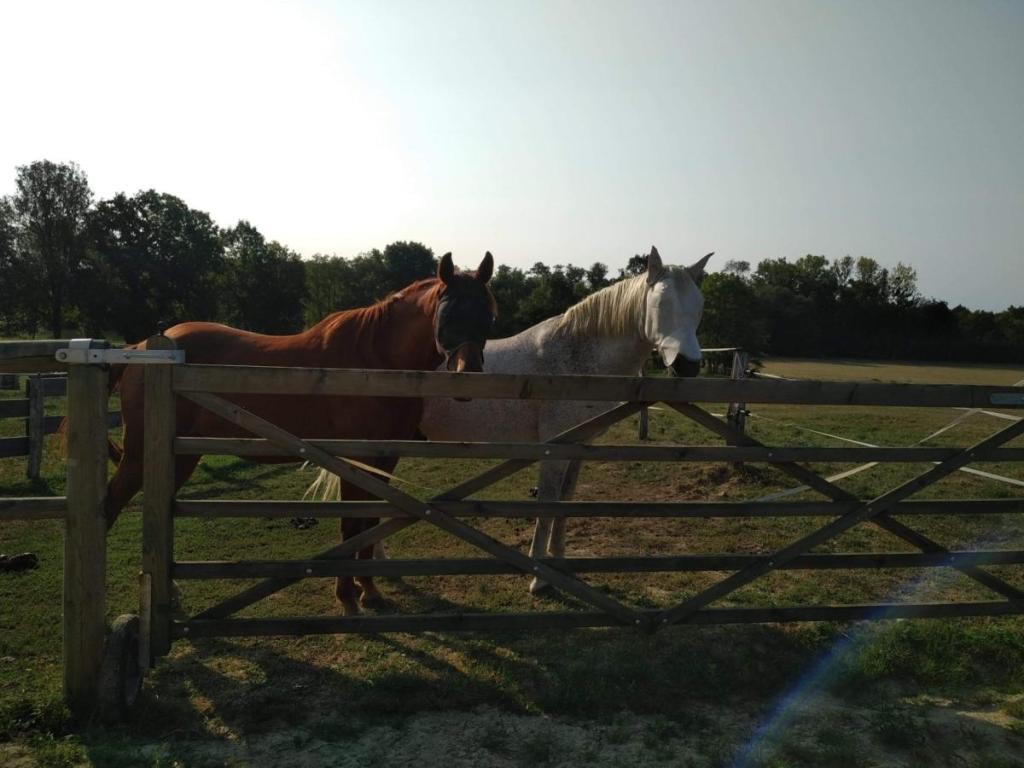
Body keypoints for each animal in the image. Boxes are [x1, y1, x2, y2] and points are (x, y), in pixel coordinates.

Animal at [108, 252, 495, 614]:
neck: (375, 363)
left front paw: (369, 591)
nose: (468, 378)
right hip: (141, 455)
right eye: (447, 316)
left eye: (488, 316)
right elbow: (351, 526)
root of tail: (140, 348)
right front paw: (347, 597)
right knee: (110, 504)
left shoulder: (384, 459)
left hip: (180, 457)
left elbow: (369, 522)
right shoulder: (355, 459)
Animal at [307, 246, 708, 593]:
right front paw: (540, 578)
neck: (577, 356)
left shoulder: (580, 446)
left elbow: (566, 501)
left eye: (699, 305)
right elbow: (549, 503)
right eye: (661, 303)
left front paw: (561, 562)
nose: (689, 366)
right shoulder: (554, 448)